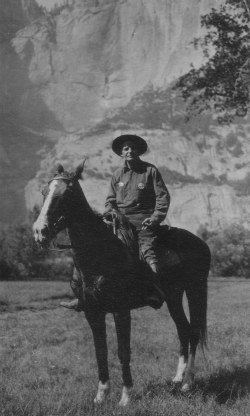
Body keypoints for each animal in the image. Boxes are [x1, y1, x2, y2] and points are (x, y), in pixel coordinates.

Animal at [32, 162, 210, 406]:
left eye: (67, 193)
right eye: (44, 191)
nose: (40, 231)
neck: (99, 254)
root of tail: (200, 243)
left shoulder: (121, 310)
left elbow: (122, 350)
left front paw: (126, 396)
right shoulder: (92, 311)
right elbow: (101, 350)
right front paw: (101, 395)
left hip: (195, 291)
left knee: (193, 333)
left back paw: (187, 383)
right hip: (174, 297)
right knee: (183, 330)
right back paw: (177, 379)